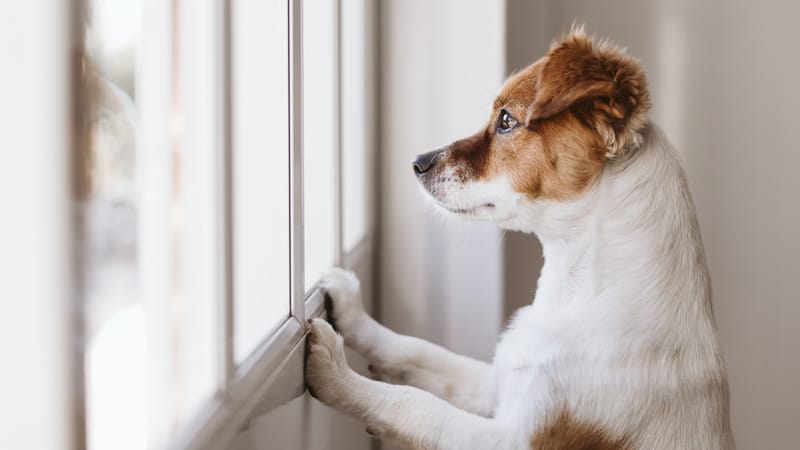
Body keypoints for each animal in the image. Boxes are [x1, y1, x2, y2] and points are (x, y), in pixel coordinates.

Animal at [304, 29, 736, 450]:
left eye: (507, 120)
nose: (417, 163)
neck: (575, 293)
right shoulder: (498, 384)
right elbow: (418, 350)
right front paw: (352, 311)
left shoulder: (515, 437)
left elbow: (415, 405)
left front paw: (337, 373)